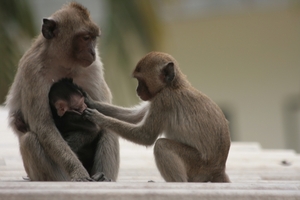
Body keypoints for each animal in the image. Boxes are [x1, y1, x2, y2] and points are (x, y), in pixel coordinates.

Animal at [4, 2, 119, 181]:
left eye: (93, 38)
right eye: (85, 38)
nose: (92, 52)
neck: (63, 63)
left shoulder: (94, 68)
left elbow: (101, 115)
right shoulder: (32, 71)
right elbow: (44, 127)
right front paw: (78, 172)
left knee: (108, 127)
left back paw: (102, 177)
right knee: (30, 139)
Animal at [84, 51, 232, 183]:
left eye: (141, 80)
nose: (137, 90)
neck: (173, 85)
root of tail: (219, 168)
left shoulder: (163, 101)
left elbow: (146, 136)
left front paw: (99, 118)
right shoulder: (156, 98)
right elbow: (134, 116)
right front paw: (90, 102)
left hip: (198, 165)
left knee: (161, 145)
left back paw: (178, 183)